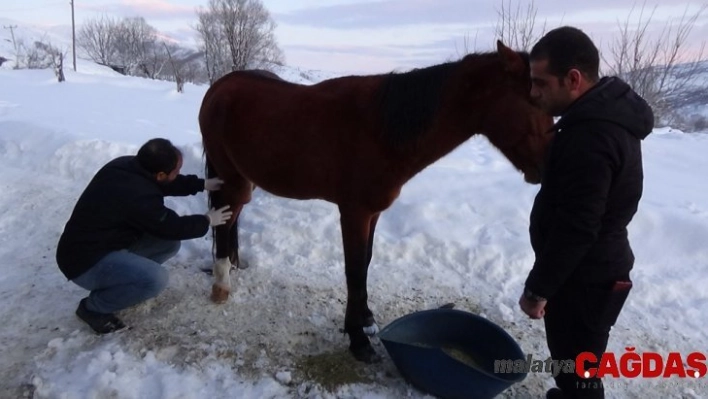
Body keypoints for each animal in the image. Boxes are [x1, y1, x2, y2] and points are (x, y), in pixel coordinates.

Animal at [198, 41, 552, 366]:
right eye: (534, 100)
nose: (547, 167)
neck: (381, 129)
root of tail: (220, 87)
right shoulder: (354, 213)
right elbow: (354, 271)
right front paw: (358, 340)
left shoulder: (374, 212)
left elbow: (366, 263)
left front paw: (365, 318)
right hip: (233, 180)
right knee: (225, 220)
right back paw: (221, 284)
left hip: (244, 181)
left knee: (231, 219)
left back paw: (233, 265)